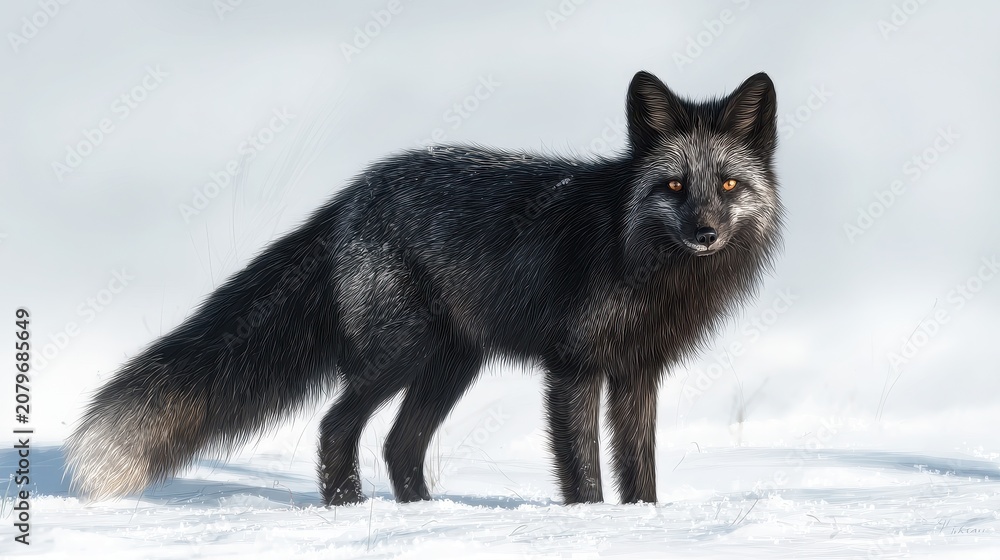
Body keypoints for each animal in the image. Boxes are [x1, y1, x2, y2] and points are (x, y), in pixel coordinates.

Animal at [66, 70, 783, 506]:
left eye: (727, 185)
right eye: (673, 185)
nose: (704, 233)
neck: (642, 260)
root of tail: (352, 194)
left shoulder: (638, 372)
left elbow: (640, 471)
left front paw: (641, 524)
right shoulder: (573, 369)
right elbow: (583, 473)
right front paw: (588, 525)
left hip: (452, 363)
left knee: (398, 444)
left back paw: (421, 518)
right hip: (403, 355)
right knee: (337, 426)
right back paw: (351, 511)